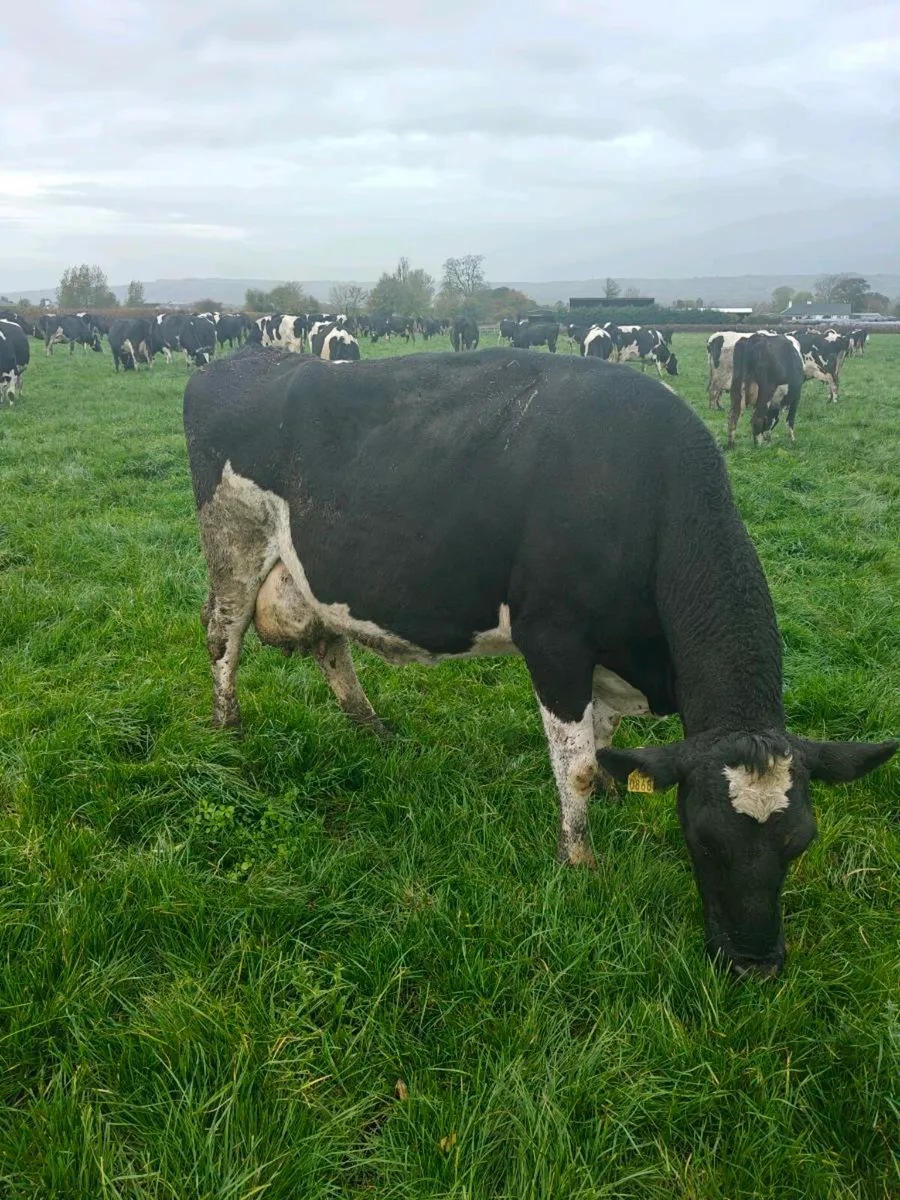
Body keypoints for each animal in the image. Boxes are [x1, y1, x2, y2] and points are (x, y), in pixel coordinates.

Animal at [184, 346, 896, 978]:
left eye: (800, 841)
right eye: (701, 837)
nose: (755, 966)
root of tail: (237, 360)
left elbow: (601, 740)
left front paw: (612, 786)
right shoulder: (555, 641)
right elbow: (573, 764)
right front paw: (577, 859)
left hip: (312, 573)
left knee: (330, 645)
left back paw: (371, 728)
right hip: (233, 540)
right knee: (223, 636)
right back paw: (228, 727)